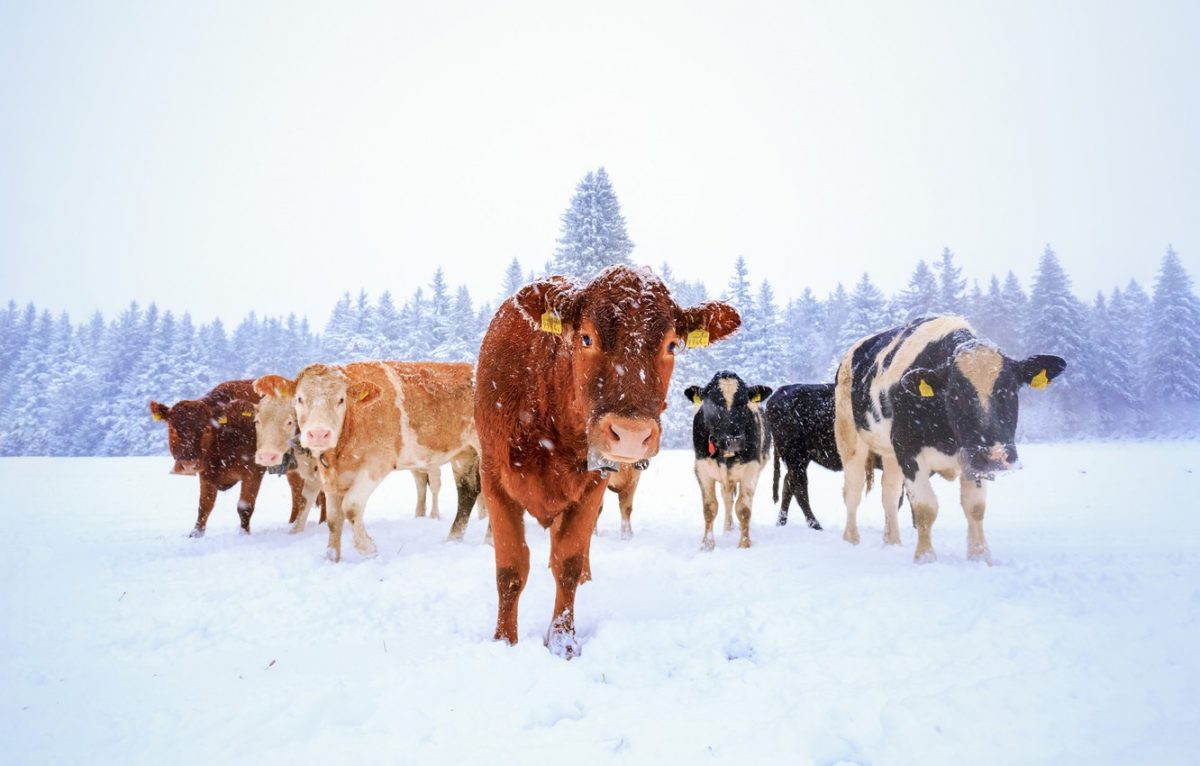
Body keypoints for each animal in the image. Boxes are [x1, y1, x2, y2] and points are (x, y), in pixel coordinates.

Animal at [253, 362, 482, 561]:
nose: (319, 434)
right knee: (468, 492)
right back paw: (454, 539)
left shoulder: (376, 464)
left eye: (341, 400)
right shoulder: (330, 476)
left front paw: (368, 548)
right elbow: (334, 518)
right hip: (464, 454)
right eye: (299, 399)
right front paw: (332, 557)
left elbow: (351, 506)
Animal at [475, 265, 739, 662]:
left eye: (671, 345)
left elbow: (567, 561)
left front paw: (563, 642)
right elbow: (511, 568)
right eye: (586, 338)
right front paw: (505, 641)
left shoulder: (593, 483)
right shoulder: (493, 479)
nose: (630, 433)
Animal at [691, 374, 772, 549]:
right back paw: (728, 529)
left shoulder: (751, 470)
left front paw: (744, 544)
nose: (733, 440)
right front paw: (707, 544)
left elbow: (744, 508)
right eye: (713, 403)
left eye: (743, 402)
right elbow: (710, 508)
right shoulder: (702, 469)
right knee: (727, 499)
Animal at [763, 386, 840, 530]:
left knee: (789, 484)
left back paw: (781, 522)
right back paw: (815, 525)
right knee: (799, 487)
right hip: (797, 457)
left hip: (800, 459)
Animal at [835, 316, 1070, 564]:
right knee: (852, 492)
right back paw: (851, 540)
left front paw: (980, 555)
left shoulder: (973, 459)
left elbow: (975, 506)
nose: (996, 456)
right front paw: (925, 557)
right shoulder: (909, 451)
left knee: (889, 493)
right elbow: (925, 507)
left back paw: (892, 542)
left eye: (1010, 391)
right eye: (956, 395)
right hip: (850, 439)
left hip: (890, 453)